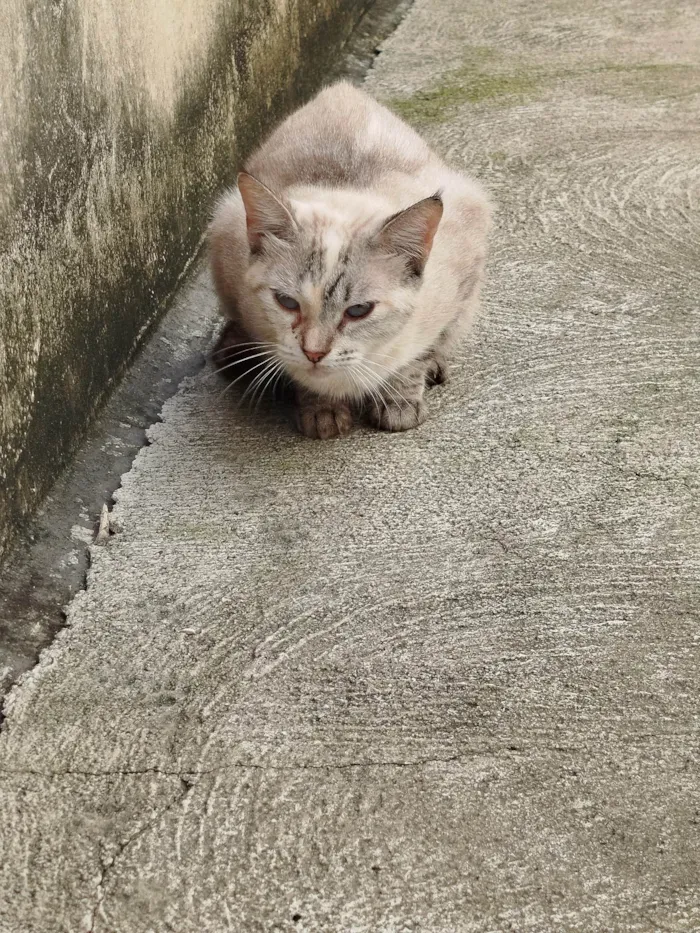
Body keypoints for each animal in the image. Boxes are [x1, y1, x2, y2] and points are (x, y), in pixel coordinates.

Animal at [208, 79, 492, 436]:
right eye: (286, 302)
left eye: (358, 310)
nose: (314, 353)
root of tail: (342, 89)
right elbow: (302, 375)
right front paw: (323, 411)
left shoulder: (462, 262)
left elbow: (416, 356)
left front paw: (399, 404)